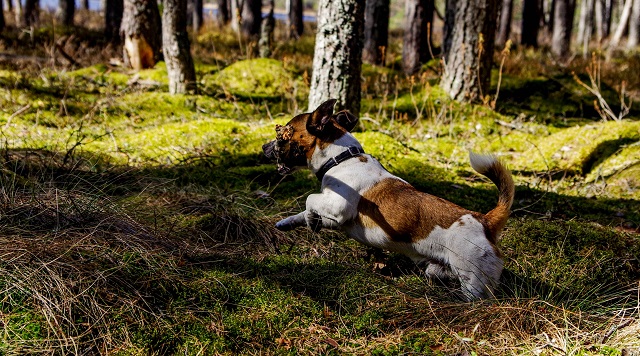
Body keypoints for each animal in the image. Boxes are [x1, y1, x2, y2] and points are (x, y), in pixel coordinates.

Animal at [260, 98, 516, 300]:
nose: (263, 147)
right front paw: (290, 222)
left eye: (283, 133)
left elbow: (310, 200)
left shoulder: (339, 205)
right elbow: (305, 211)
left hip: (474, 280)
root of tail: (486, 221)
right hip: (437, 269)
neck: (341, 159)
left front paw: (312, 220)